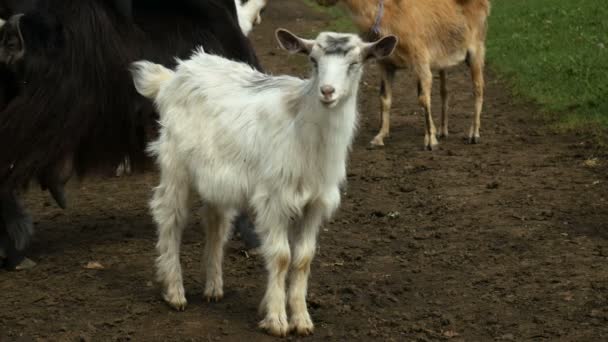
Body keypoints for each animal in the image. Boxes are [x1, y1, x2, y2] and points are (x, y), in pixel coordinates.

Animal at [318, 0, 490, 150]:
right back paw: (443, 131)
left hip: (476, 50)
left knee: (478, 88)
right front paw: (379, 137)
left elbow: (423, 98)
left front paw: (430, 141)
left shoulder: (420, 59)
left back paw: (473, 134)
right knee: (445, 91)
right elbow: (385, 99)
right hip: (444, 60)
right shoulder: (386, 64)